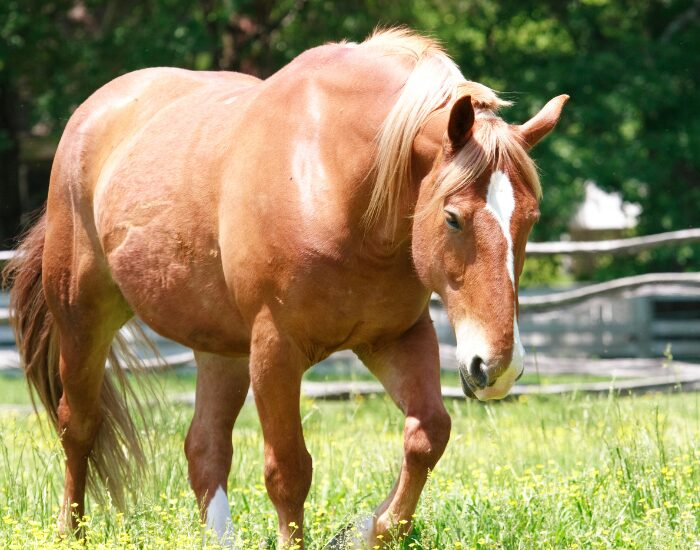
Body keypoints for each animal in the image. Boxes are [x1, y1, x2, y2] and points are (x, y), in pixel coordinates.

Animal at [3, 28, 567, 548]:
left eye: (530, 219)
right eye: (452, 218)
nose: (497, 367)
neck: (333, 180)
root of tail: (92, 113)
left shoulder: (395, 337)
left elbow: (427, 434)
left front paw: (367, 529)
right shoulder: (276, 348)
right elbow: (288, 470)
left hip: (221, 349)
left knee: (205, 449)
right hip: (83, 319)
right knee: (79, 427)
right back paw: (71, 531)